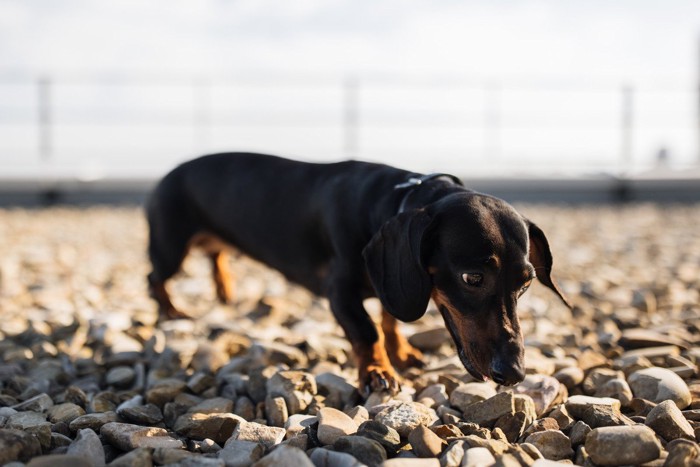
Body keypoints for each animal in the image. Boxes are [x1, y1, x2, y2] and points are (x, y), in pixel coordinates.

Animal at [146, 153, 568, 392]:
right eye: (472, 278)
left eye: (526, 284)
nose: (514, 374)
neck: (395, 198)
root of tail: (170, 172)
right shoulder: (340, 292)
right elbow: (367, 331)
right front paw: (378, 371)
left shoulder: (389, 284)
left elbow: (389, 320)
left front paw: (401, 352)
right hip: (170, 247)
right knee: (155, 278)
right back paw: (169, 311)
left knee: (215, 256)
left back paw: (225, 290)